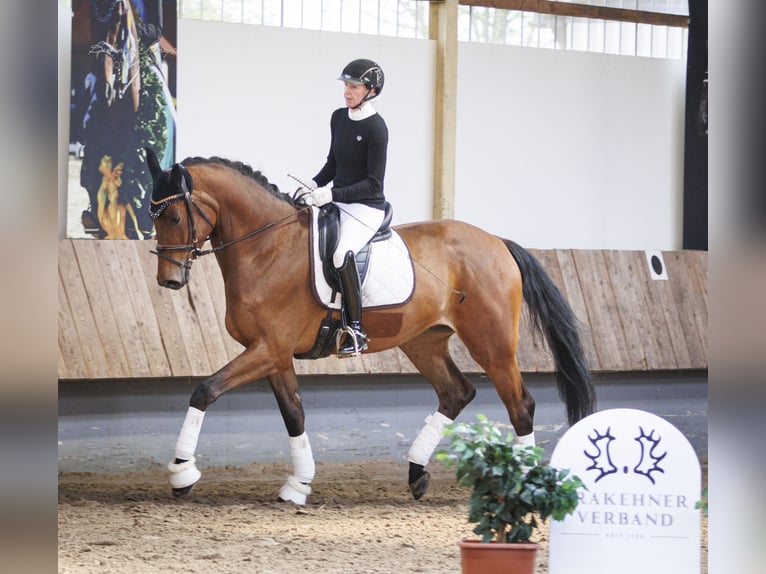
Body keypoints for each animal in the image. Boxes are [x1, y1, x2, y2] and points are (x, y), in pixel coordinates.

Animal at [146, 151, 600, 506]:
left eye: (174, 215)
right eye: (153, 217)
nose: (169, 280)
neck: (267, 248)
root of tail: (497, 242)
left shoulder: (268, 350)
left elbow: (205, 390)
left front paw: (182, 472)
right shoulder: (275, 355)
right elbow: (294, 413)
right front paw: (299, 483)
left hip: (492, 343)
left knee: (520, 404)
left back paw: (523, 485)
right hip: (424, 342)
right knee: (456, 392)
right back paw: (417, 474)